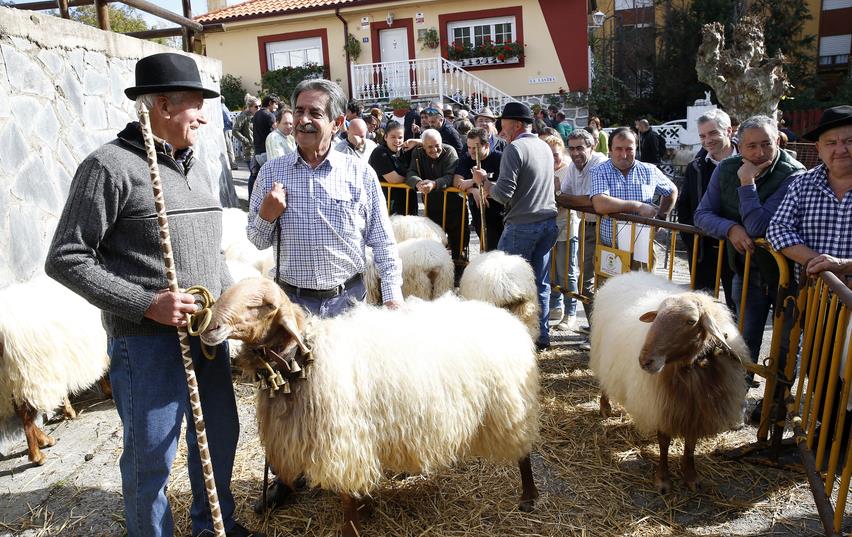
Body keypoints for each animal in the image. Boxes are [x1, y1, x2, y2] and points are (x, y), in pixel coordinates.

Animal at [0, 276, 110, 464]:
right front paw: (108, 391)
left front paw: (69, 411)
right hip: (30, 373)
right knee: (26, 415)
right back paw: (37, 455)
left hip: (14, 377)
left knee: (21, 412)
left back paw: (44, 440)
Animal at [201, 278, 540, 532]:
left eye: (261, 306)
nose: (209, 328)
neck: (307, 357)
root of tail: (506, 317)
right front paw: (366, 508)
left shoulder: (345, 441)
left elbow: (347, 496)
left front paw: (352, 525)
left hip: (511, 406)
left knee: (524, 453)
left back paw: (528, 496)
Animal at [588, 274, 748, 492]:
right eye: (656, 317)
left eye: (691, 321)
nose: (644, 360)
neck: (691, 369)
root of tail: (624, 276)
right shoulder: (661, 405)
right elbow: (664, 443)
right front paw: (662, 479)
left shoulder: (695, 411)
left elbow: (691, 445)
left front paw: (691, 477)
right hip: (602, 354)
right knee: (605, 381)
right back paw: (605, 407)